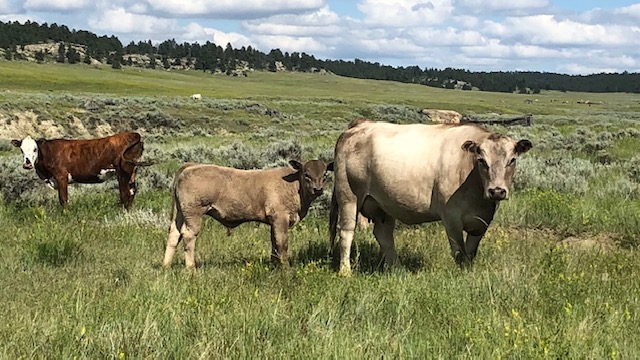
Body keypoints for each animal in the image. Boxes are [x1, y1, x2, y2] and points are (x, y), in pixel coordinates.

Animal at [13, 131, 146, 208]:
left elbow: (63, 199)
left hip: (123, 171)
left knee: (125, 193)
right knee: (132, 191)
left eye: (35, 149)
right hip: (132, 171)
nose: (27, 164)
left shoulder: (61, 176)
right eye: (21, 150)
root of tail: (133, 134)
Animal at [162, 160, 336, 268]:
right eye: (306, 174)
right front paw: (286, 268)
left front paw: (274, 265)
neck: (294, 186)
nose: (318, 189)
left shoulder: (273, 222)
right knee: (188, 236)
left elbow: (274, 244)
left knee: (174, 234)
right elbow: (282, 244)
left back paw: (166, 265)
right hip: (194, 214)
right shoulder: (280, 219)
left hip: (180, 214)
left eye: (325, 175)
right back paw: (192, 269)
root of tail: (191, 166)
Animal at [328, 119, 532, 274]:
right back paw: (345, 271)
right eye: (482, 160)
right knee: (346, 231)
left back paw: (397, 269)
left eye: (512, 160)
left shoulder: (482, 221)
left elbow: (471, 251)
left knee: (383, 235)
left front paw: (468, 272)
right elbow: (459, 250)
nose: (496, 191)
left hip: (383, 204)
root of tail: (360, 125)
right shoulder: (451, 217)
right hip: (349, 196)